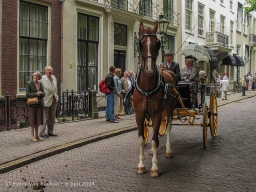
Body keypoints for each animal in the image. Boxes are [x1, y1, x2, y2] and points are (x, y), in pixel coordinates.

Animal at [133, 21, 177, 178]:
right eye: (140, 44)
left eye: (157, 44)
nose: (150, 70)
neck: (147, 88)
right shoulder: (139, 114)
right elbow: (142, 140)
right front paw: (141, 166)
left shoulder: (158, 113)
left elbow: (155, 141)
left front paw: (154, 168)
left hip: (169, 109)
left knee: (168, 127)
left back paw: (169, 151)